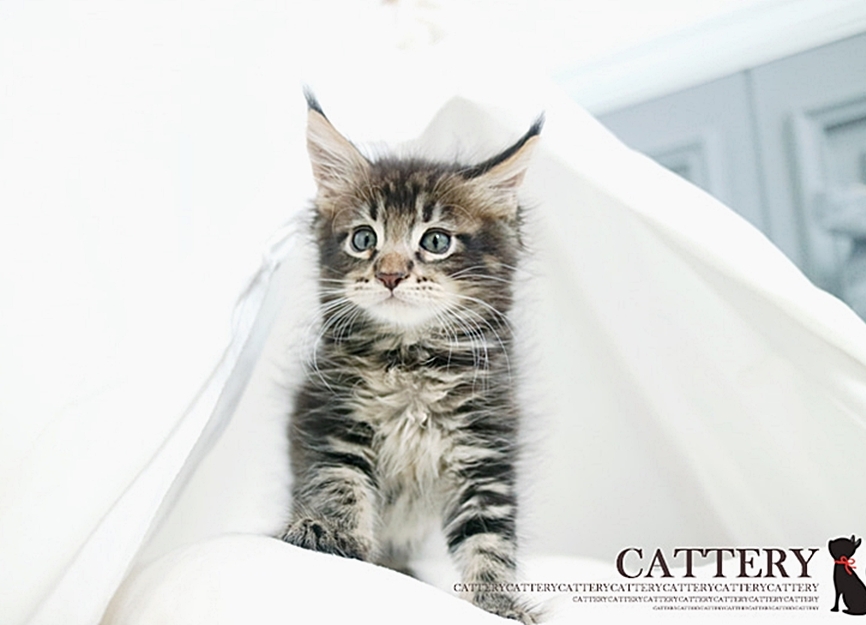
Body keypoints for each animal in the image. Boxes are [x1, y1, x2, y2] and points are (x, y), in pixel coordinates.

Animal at [278, 90, 543, 624]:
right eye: (364, 238)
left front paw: (498, 601)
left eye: (436, 240)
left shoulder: (484, 446)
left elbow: (488, 534)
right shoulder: (334, 419)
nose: (390, 274)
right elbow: (340, 483)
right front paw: (330, 533)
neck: (411, 361)